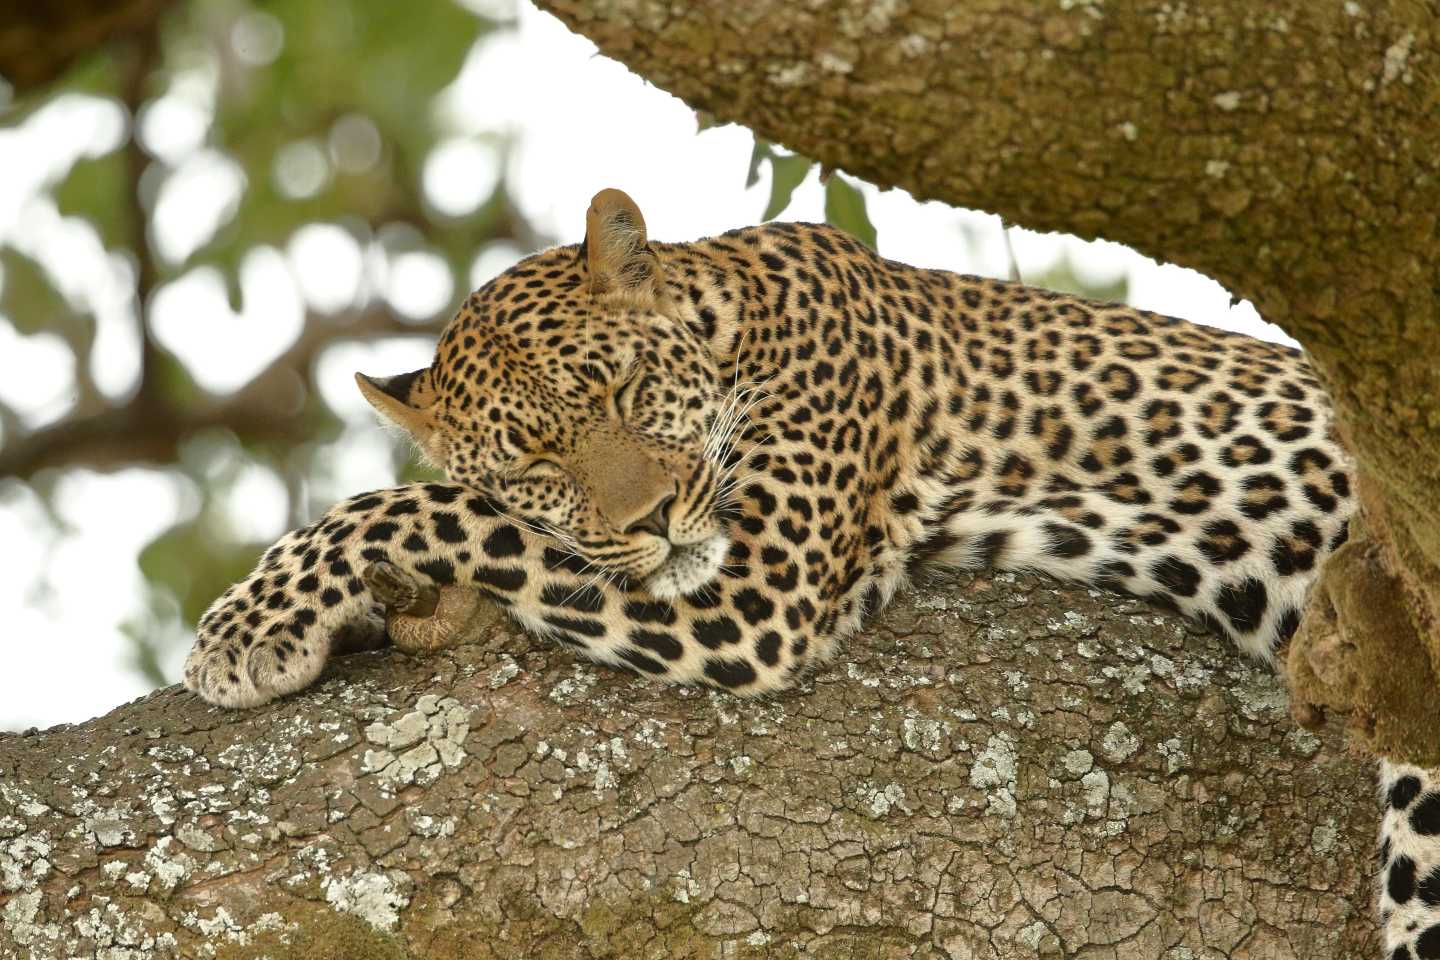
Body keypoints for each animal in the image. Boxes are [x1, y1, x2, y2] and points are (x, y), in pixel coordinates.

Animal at [183, 188, 1439, 957]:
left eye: (624, 392)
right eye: (534, 459)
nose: (649, 518)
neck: (734, 313)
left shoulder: (754, 589)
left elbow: (416, 503)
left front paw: (243, 627)